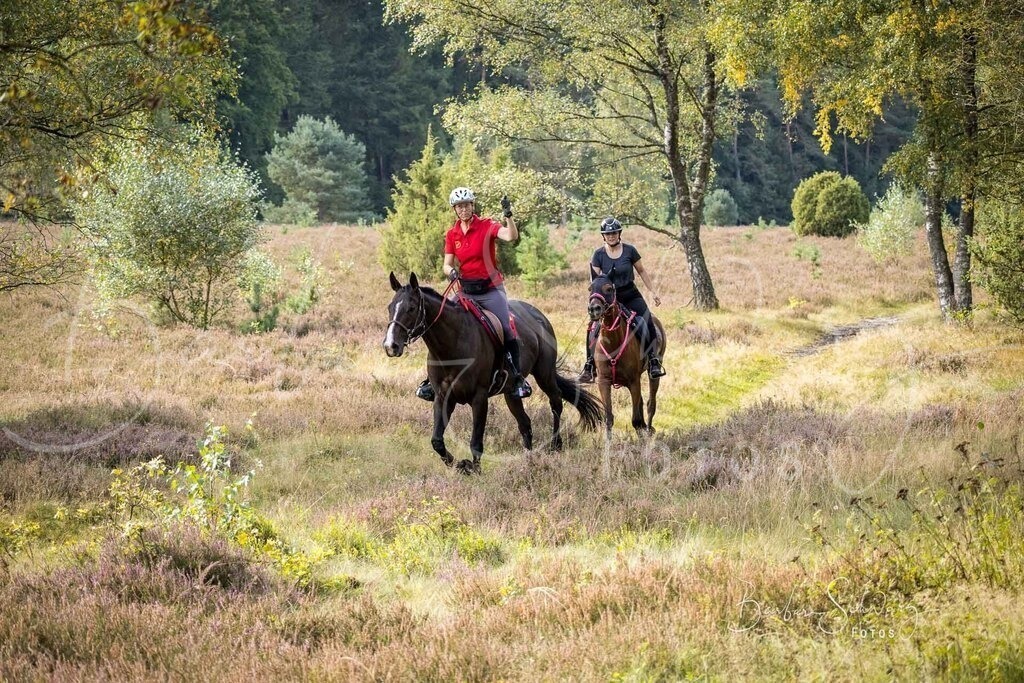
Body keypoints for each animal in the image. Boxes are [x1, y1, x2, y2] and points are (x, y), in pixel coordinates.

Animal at [383, 272, 603, 474]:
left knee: (556, 402)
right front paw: (458, 465)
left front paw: (474, 469)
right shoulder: (443, 397)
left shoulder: (479, 398)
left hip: (544, 374)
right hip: (511, 393)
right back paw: (529, 462)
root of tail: (538, 315)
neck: (452, 345)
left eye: (411, 308)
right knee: (525, 423)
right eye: (390, 307)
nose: (390, 346)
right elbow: (437, 440)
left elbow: (476, 441)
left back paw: (555, 445)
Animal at [587, 275, 666, 440]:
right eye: (590, 288)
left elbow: (636, 419)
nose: (594, 309)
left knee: (651, 404)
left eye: (609, 289)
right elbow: (609, 418)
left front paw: (643, 439)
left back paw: (648, 430)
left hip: (653, 373)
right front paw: (608, 446)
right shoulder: (603, 382)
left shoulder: (633, 381)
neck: (613, 343)